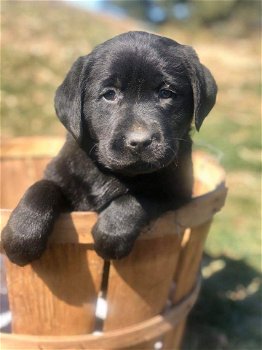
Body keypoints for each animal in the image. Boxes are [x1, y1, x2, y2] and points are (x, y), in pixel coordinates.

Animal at [1, 31, 217, 266]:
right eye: (109, 94)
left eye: (166, 93)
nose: (140, 141)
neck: (112, 173)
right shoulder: (60, 174)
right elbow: (42, 188)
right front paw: (22, 235)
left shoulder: (177, 194)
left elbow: (140, 198)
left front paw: (111, 234)